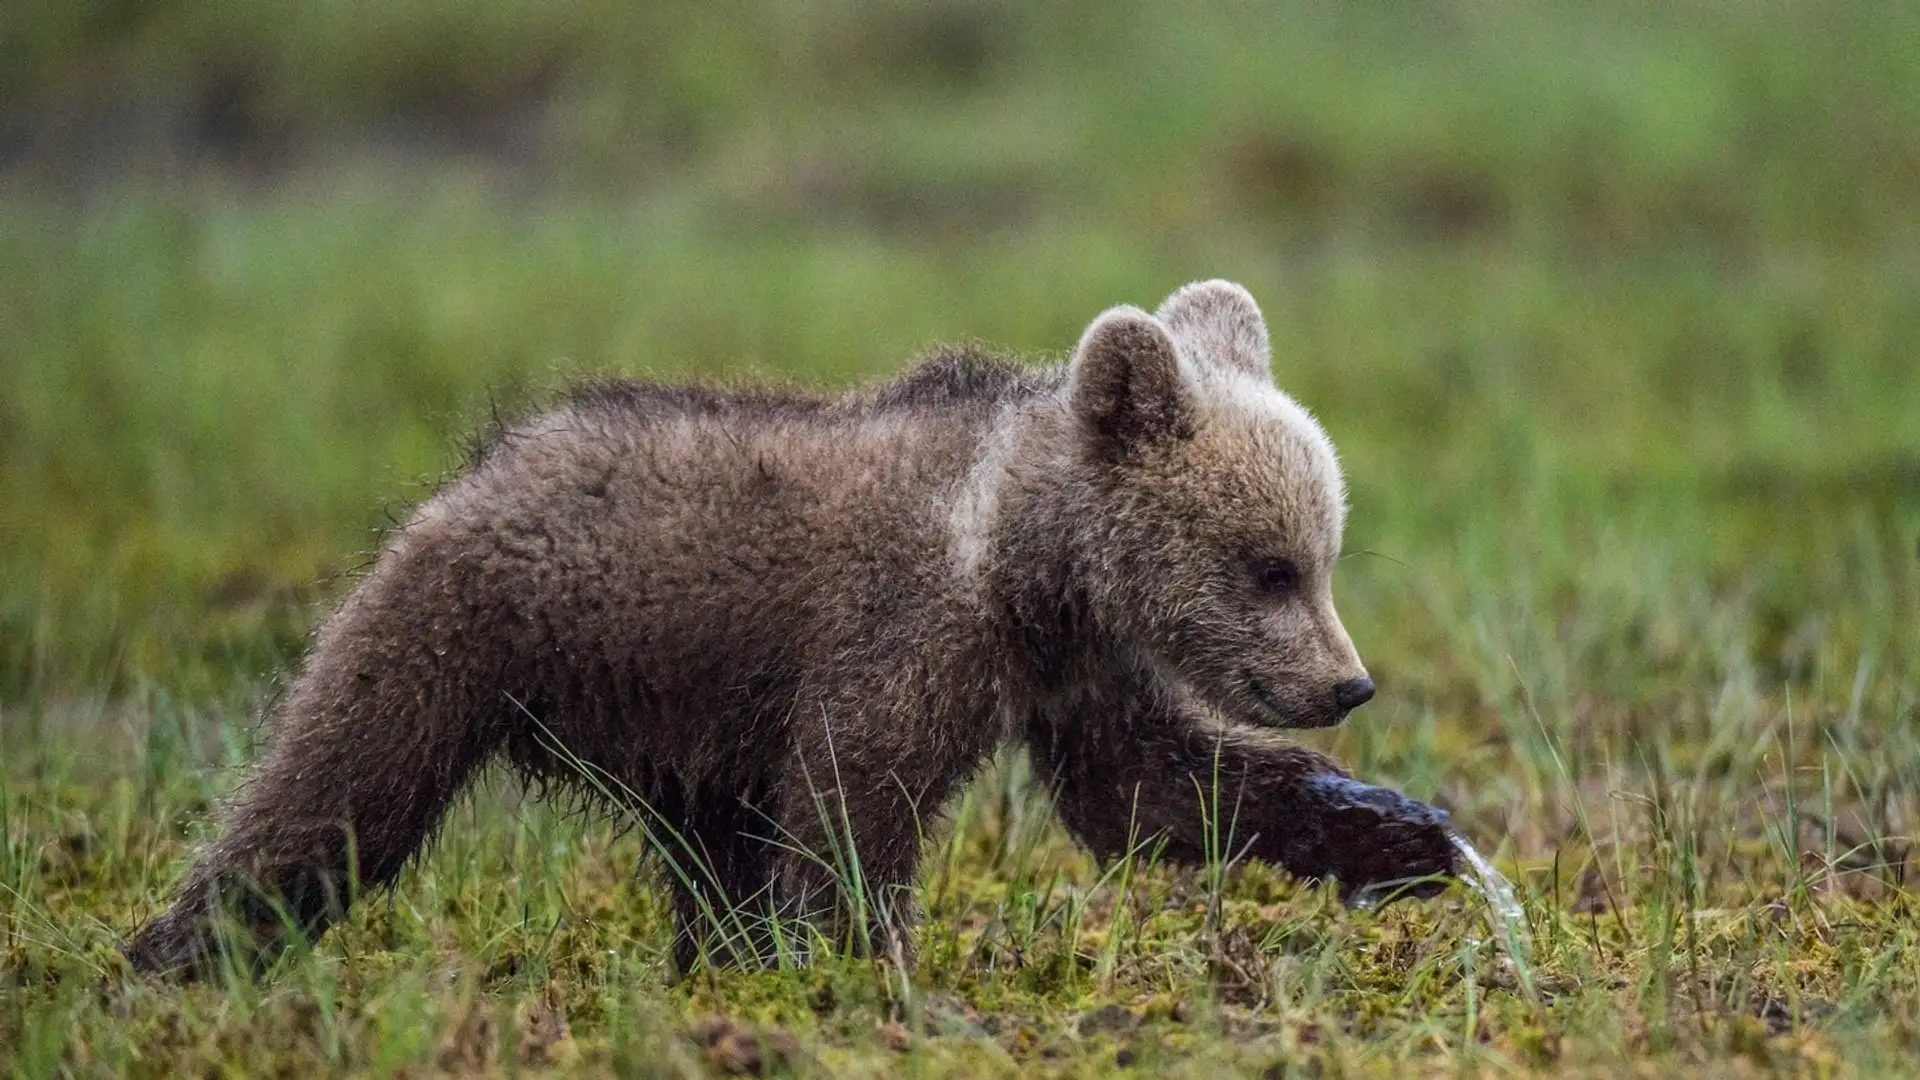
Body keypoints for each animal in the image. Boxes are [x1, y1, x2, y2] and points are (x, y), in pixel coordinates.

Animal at [124, 279, 1458, 978]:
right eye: (1270, 566)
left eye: (1326, 557)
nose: (1348, 686)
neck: (1023, 563)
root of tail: (476, 466)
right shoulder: (901, 641)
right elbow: (852, 814)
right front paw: (878, 978)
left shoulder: (1073, 671)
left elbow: (1149, 793)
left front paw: (1400, 832)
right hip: (465, 634)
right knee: (335, 796)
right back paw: (178, 954)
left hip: (679, 726)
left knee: (710, 855)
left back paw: (715, 965)